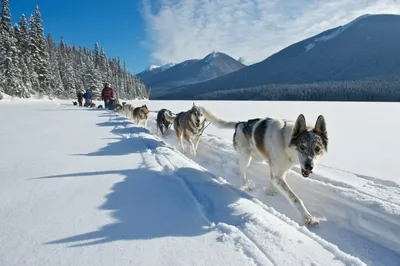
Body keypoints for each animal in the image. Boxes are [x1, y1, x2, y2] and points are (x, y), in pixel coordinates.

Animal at [200, 105, 328, 225]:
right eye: (302, 147)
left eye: (317, 149)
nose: (309, 166)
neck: (284, 142)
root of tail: (241, 123)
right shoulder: (277, 175)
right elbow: (295, 199)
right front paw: (308, 218)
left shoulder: (278, 172)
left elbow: (274, 182)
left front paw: (271, 191)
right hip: (246, 156)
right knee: (242, 171)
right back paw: (246, 186)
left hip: (257, 156)